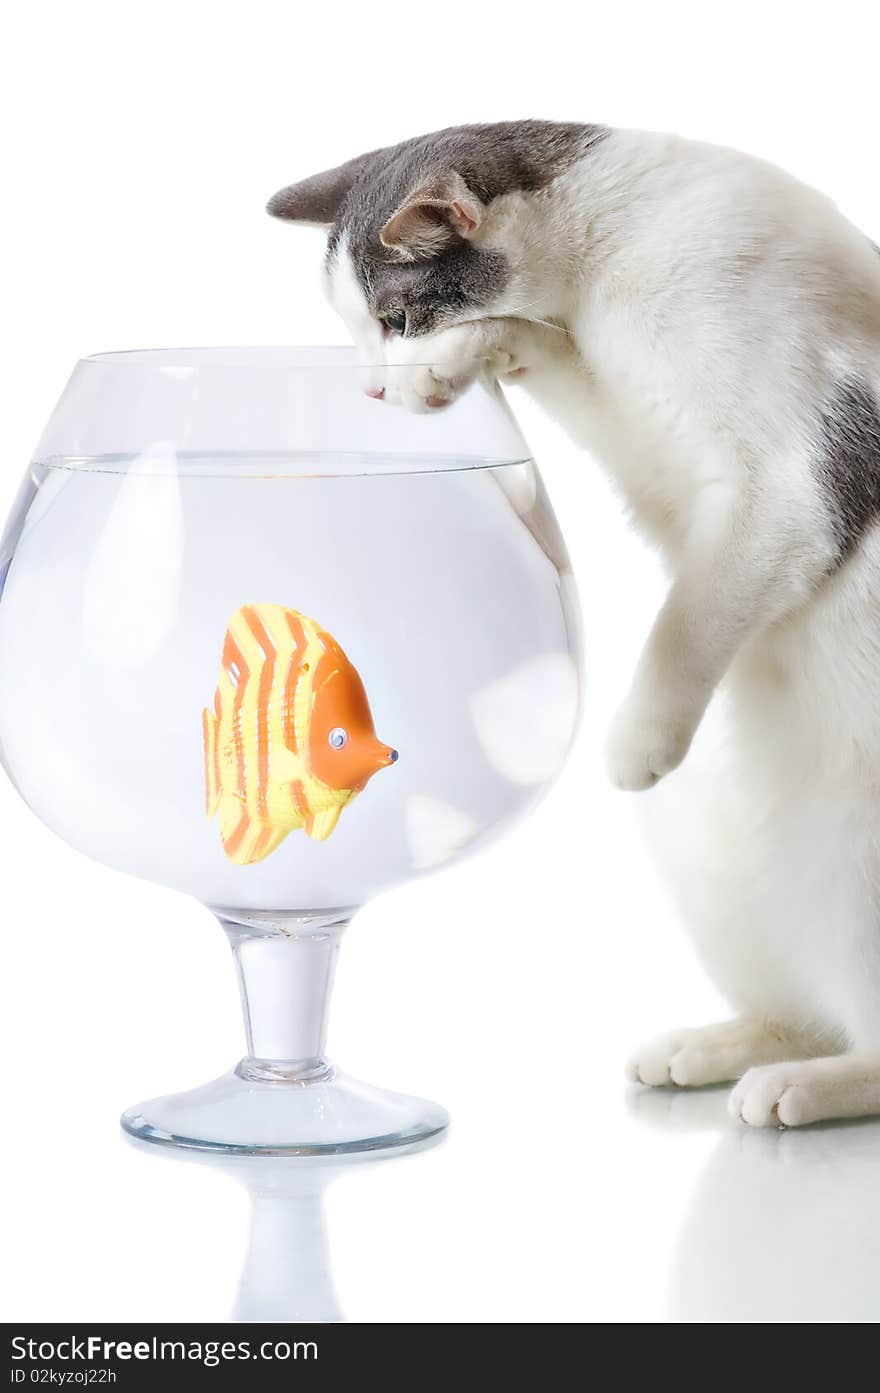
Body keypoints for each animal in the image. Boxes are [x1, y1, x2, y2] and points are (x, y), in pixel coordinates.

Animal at [265, 114, 880, 1125]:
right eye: (358, 331)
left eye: (396, 319)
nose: (373, 392)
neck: (610, 260)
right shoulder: (664, 466)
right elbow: (562, 361)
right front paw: (480, 352)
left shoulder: (787, 486)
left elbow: (688, 618)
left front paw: (637, 740)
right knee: (803, 1007)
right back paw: (721, 1046)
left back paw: (807, 1086)